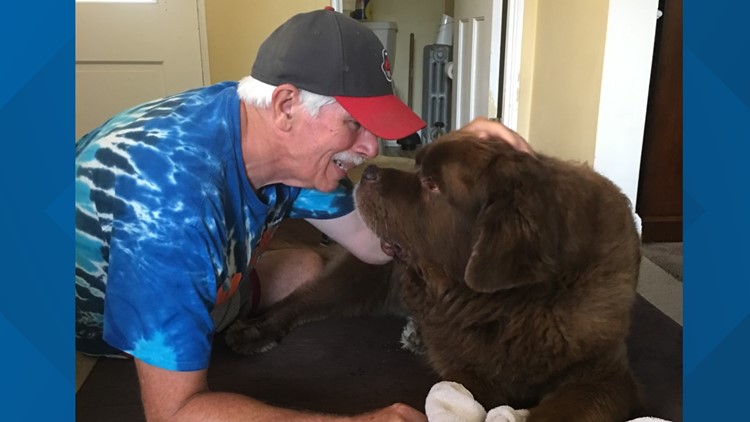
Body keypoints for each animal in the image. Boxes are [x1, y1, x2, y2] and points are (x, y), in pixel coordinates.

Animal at [226, 131, 644, 418]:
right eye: (417, 166)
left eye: (431, 184)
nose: (370, 171)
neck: (513, 306)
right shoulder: (469, 376)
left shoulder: (601, 374)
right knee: (301, 301)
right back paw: (253, 331)